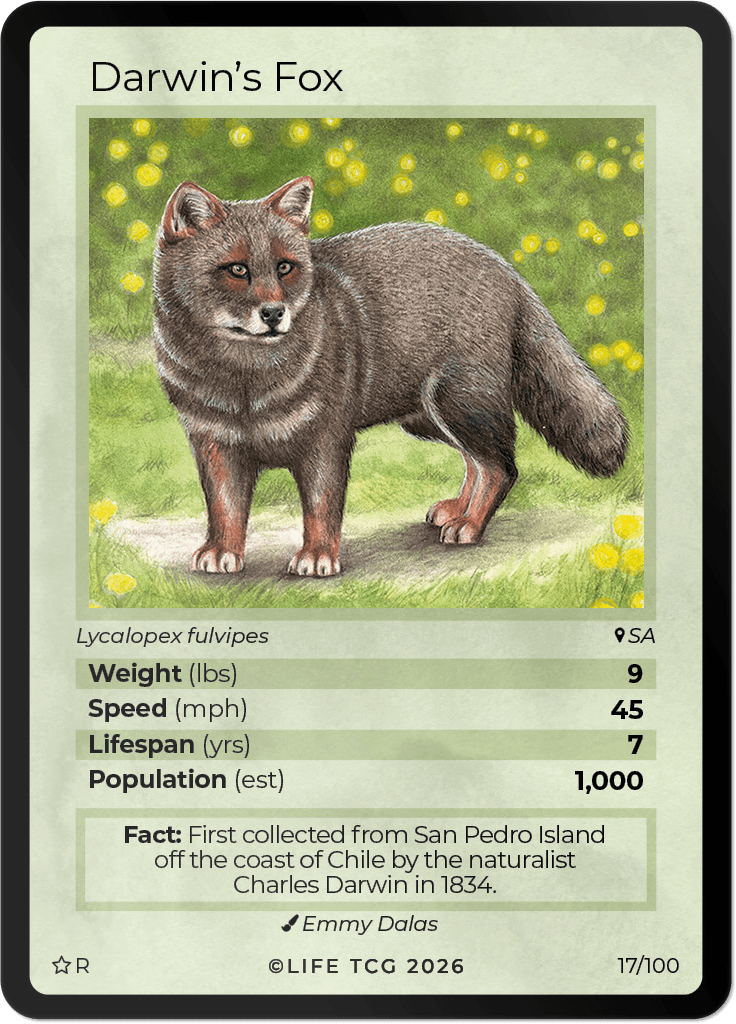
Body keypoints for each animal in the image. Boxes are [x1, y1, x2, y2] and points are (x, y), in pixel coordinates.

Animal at [153, 176, 628, 577]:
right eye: (237, 269)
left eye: (285, 268)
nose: (273, 314)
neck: (245, 388)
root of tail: (505, 269)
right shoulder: (215, 443)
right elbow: (225, 510)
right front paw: (222, 551)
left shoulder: (327, 441)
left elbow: (322, 508)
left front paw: (318, 557)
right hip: (430, 419)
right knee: (478, 461)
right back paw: (458, 510)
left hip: (459, 404)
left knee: (502, 467)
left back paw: (470, 526)